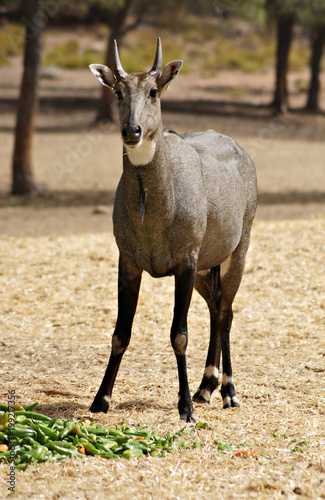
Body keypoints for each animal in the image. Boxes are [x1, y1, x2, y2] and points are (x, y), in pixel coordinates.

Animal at [88, 38, 256, 422]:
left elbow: (179, 333)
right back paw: (205, 387)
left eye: (153, 91)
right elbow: (120, 333)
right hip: (205, 269)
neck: (152, 214)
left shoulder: (185, 261)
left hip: (235, 254)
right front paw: (100, 399)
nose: (132, 131)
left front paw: (184, 409)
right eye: (118, 91)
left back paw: (228, 391)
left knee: (226, 313)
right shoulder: (129, 262)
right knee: (215, 309)